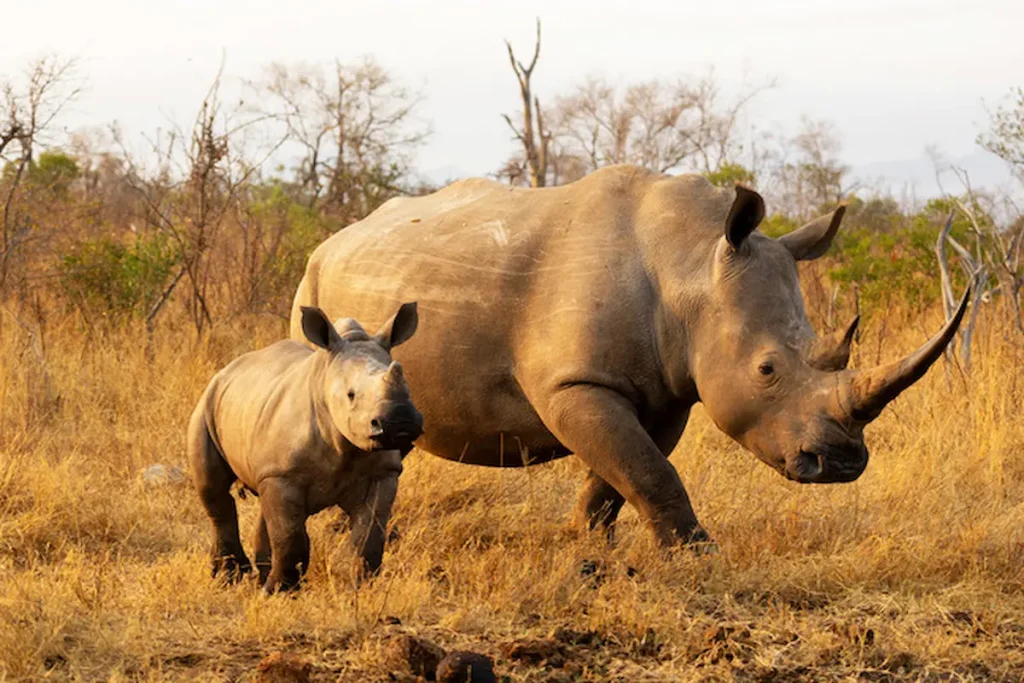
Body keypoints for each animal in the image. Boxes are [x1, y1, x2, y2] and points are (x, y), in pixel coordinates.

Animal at [188, 303, 423, 592]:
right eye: (351, 395)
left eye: (408, 387)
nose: (400, 422)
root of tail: (228, 369)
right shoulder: (283, 473)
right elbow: (289, 535)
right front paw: (279, 591)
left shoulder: (383, 471)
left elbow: (369, 532)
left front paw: (357, 585)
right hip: (206, 404)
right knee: (214, 490)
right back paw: (229, 578)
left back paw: (258, 574)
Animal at [289, 165, 968, 547]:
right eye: (767, 370)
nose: (842, 463)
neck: (691, 261)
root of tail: (335, 237)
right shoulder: (574, 383)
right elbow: (647, 471)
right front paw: (698, 558)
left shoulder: (667, 390)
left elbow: (625, 472)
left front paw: (584, 545)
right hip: (312, 287)